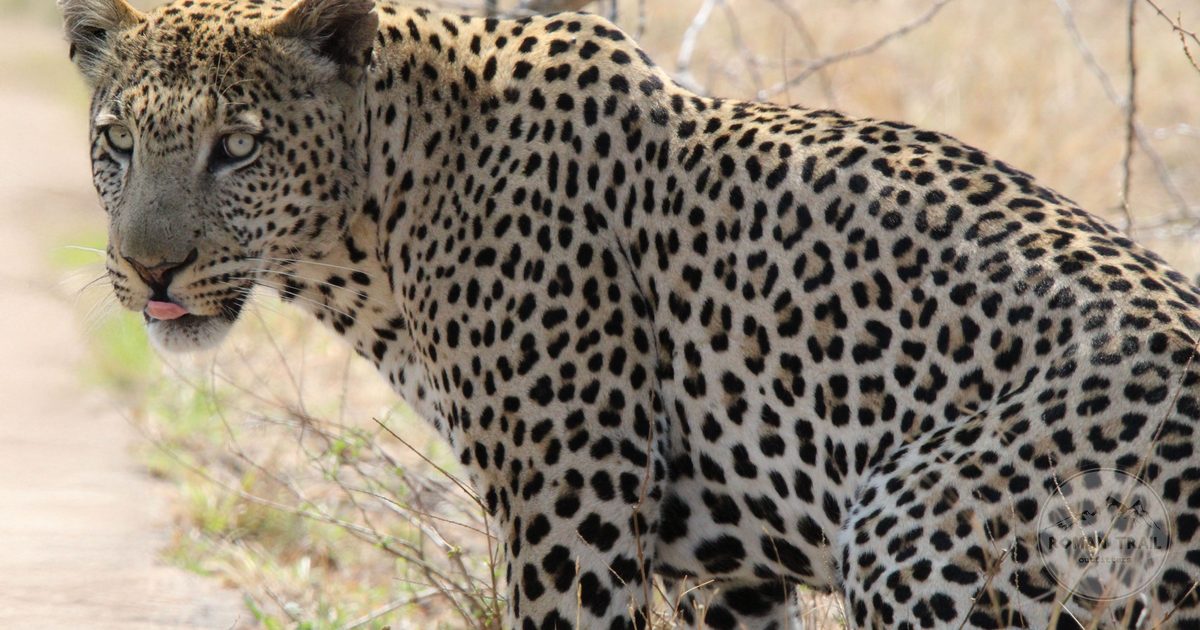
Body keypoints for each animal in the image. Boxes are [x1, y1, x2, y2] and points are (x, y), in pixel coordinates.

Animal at [59, 0, 1200, 627]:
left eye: (238, 147)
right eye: (115, 140)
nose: (151, 269)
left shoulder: (570, 505)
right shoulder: (729, 568)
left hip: (908, 518)